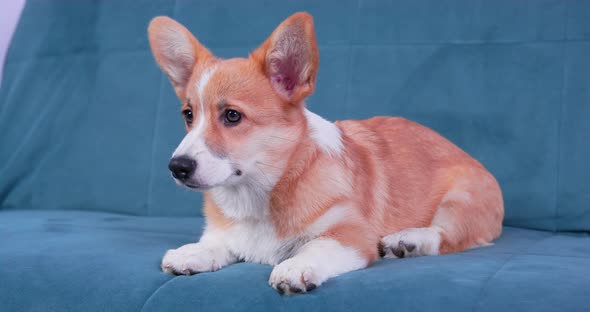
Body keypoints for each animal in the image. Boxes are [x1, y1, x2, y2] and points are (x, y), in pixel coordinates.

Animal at [147, 12, 504, 294]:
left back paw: (409, 240)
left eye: (232, 116)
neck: (257, 194)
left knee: (449, 236)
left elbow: (315, 247)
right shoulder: (229, 234)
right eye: (188, 115)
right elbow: (217, 243)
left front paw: (294, 267)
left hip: (460, 200)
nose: (177, 167)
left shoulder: (349, 237)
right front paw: (193, 252)